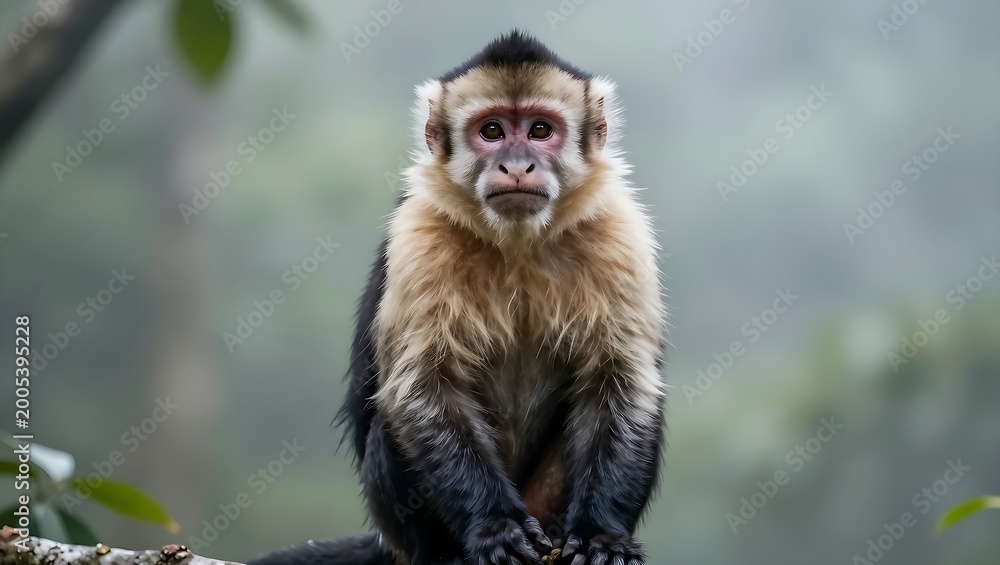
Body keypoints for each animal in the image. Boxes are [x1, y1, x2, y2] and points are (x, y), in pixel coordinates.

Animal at [250, 30, 666, 565]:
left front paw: (600, 534)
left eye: (539, 130)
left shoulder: (618, 226)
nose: (517, 165)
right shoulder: (418, 229)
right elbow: (425, 389)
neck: (518, 242)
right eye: (491, 131)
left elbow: (618, 384)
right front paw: (496, 527)